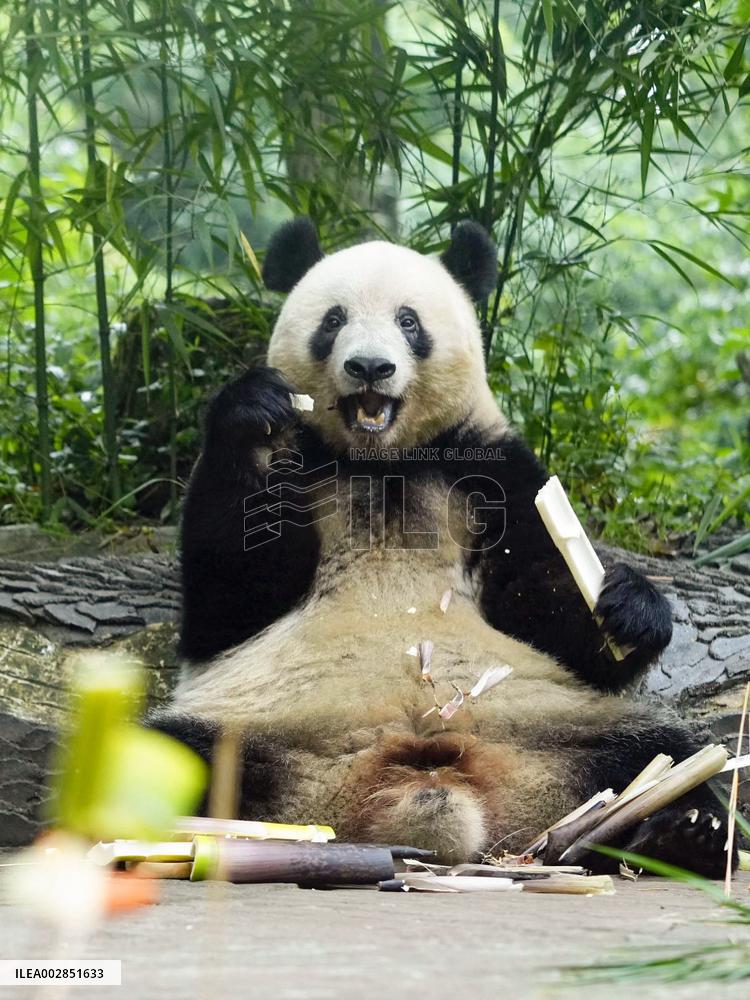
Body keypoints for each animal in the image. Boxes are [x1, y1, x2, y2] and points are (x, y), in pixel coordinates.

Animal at [151, 218, 732, 876]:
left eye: (409, 321)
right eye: (333, 319)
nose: (370, 367)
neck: (384, 465)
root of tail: (427, 797)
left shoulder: (491, 470)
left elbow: (551, 612)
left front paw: (629, 609)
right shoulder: (303, 471)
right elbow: (229, 601)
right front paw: (254, 413)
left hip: (562, 727)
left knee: (665, 753)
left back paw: (685, 832)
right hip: (257, 725)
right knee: (170, 750)